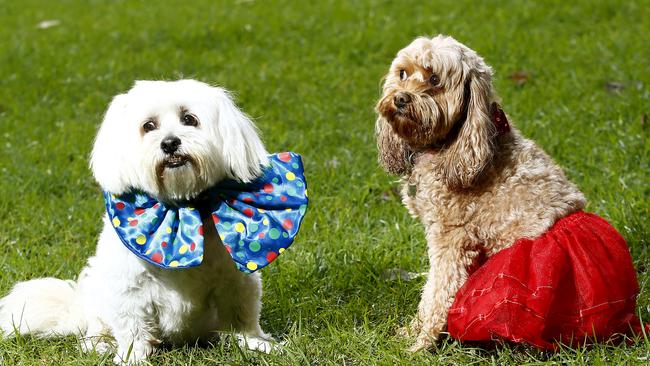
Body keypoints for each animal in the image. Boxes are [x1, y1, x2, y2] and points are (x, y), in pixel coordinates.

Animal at [0, 79, 274, 364]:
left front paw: (255, 345)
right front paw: (132, 357)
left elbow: (241, 316)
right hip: (97, 289)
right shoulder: (128, 288)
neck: (180, 208)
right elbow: (133, 328)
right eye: (148, 126)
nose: (170, 143)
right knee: (95, 330)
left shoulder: (236, 279)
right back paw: (100, 344)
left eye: (189, 119)